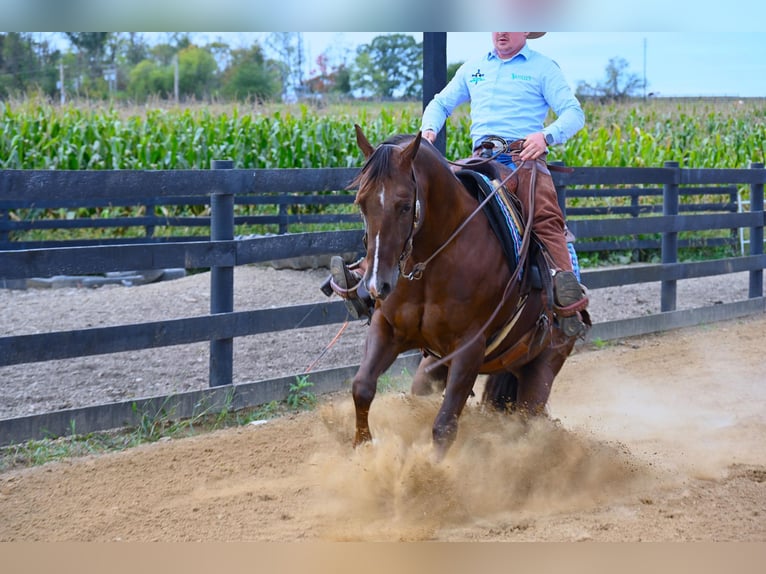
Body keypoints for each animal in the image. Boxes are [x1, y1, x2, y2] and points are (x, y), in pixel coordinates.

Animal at [352, 124, 584, 462]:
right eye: (361, 202)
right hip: (436, 368)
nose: (376, 285)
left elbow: (444, 426)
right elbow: (362, 388)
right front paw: (362, 450)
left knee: (527, 423)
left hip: (542, 370)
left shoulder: (469, 348)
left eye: (405, 205)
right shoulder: (388, 328)